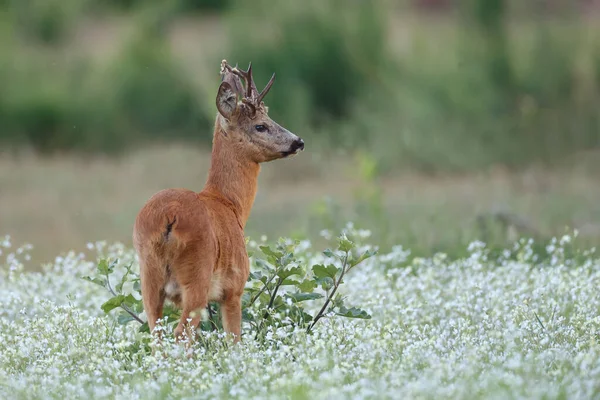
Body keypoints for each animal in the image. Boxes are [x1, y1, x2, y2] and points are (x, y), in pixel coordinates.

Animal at [134, 59, 308, 344]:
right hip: (197, 278)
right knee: (182, 333)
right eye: (261, 125)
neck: (230, 204)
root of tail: (168, 219)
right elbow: (234, 339)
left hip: (148, 279)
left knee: (156, 334)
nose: (298, 141)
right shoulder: (234, 288)